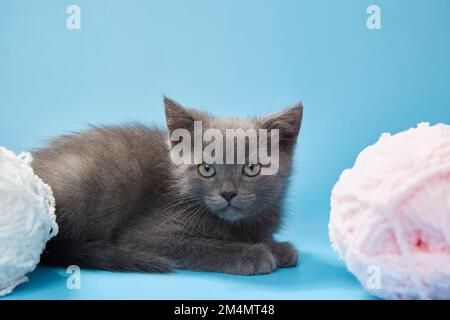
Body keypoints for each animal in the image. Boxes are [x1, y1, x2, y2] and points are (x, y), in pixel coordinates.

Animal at [33, 97, 304, 276]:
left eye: (251, 168)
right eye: (206, 169)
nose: (228, 193)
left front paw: (278, 248)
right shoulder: (144, 236)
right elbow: (203, 246)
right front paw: (253, 253)